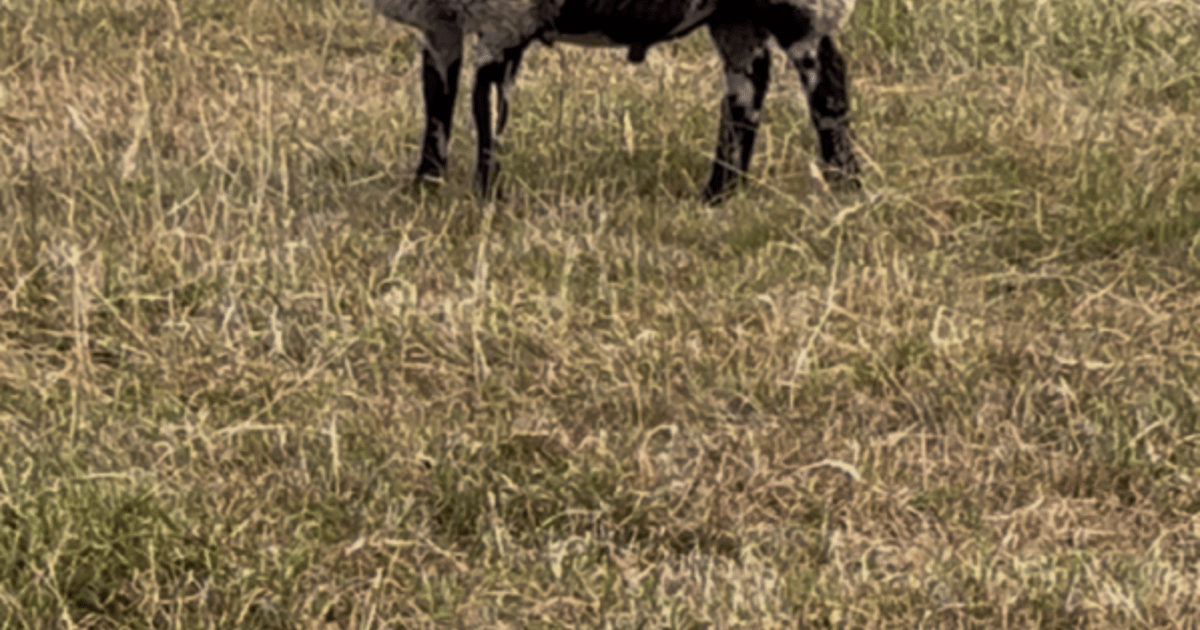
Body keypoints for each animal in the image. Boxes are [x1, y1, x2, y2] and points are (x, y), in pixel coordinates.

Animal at [373, 0, 860, 202]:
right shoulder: (440, 26)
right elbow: (437, 104)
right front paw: (424, 189)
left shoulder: (505, 21)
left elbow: (486, 113)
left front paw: (485, 198)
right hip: (735, 16)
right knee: (748, 85)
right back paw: (719, 192)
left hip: (801, 6)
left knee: (827, 79)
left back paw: (844, 181)